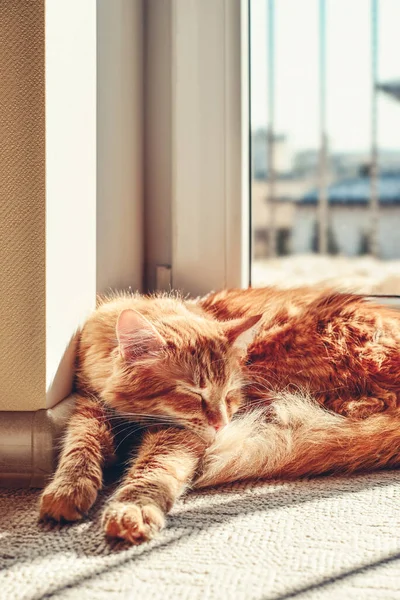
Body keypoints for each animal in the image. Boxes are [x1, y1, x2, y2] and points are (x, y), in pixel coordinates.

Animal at [39, 288, 400, 548]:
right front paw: (68, 490)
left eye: (228, 394)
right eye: (194, 394)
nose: (221, 424)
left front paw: (133, 509)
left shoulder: (179, 433)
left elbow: (154, 470)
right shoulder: (90, 404)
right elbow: (80, 448)